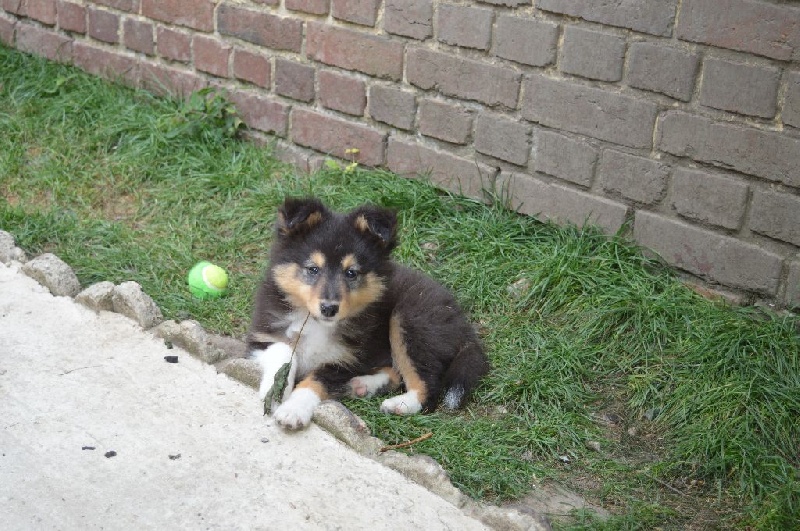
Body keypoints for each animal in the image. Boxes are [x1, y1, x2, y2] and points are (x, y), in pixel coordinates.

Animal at [248, 197, 488, 430]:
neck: (317, 323)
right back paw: (363, 385)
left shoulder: (347, 360)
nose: (329, 308)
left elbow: (316, 380)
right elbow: (283, 350)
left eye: (351, 273)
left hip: (409, 319)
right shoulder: (262, 337)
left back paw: (399, 403)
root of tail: (462, 323)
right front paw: (275, 390)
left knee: (428, 387)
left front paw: (293, 410)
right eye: (313, 269)